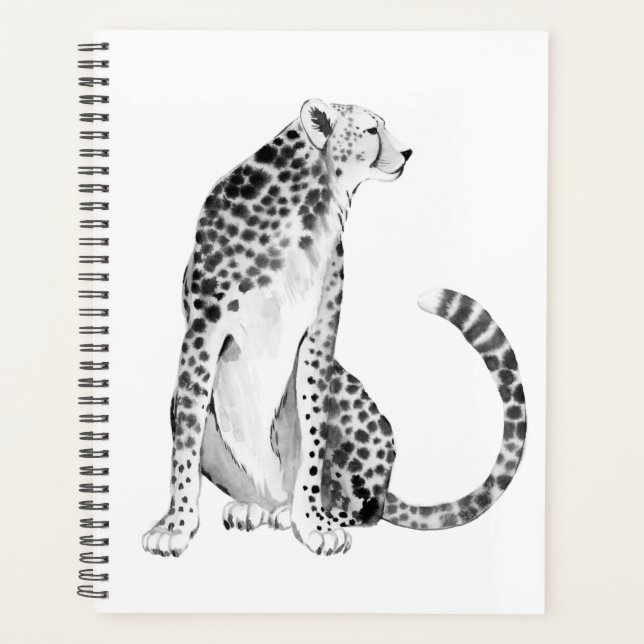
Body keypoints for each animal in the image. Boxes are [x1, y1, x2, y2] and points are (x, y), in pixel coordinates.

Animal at [142, 99, 527, 557]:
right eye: (371, 130)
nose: (408, 152)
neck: (310, 201)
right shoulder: (203, 330)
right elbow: (186, 437)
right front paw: (176, 524)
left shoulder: (320, 334)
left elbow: (313, 436)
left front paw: (313, 523)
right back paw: (255, 508)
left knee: (368, 510)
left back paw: (299, 513)